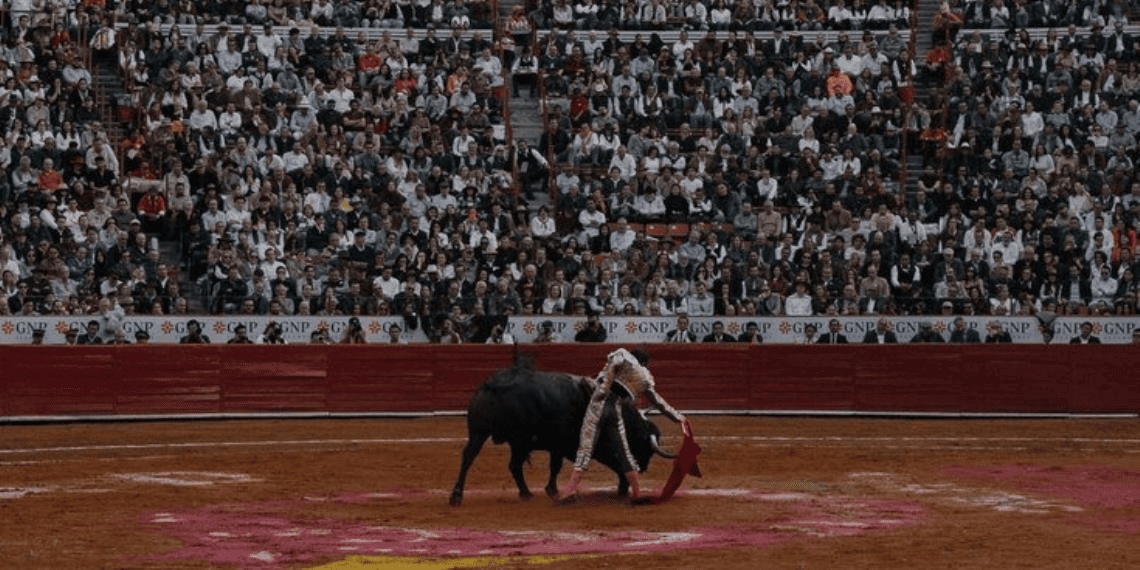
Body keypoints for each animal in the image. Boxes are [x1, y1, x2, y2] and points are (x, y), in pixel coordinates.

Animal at [449, 362, 670, 506]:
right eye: (641, 448)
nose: (642, 468)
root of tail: (494, 383)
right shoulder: (562, 444)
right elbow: (556, 466)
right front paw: (553, 491)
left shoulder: (559, 446)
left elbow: (556, 466)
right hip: (517, 441)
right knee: (512, 465)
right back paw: (524, 493)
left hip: (480, 433)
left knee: (469, 458)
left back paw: (457, 496)